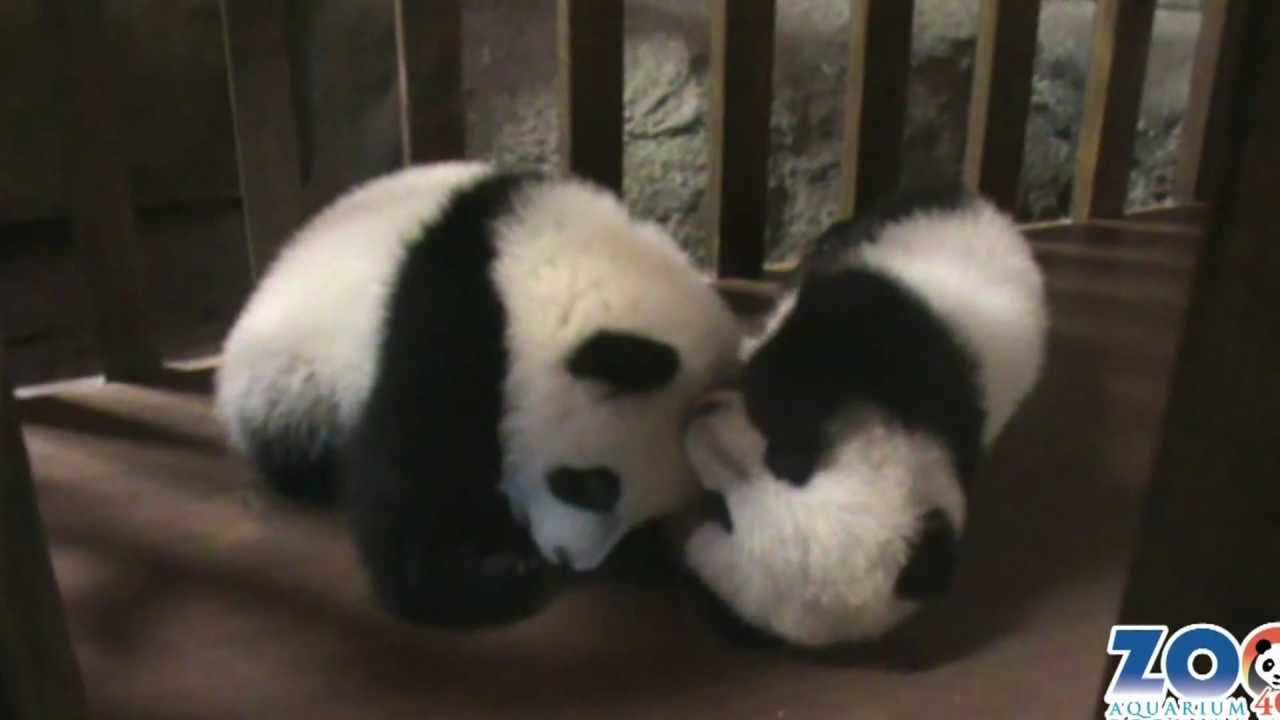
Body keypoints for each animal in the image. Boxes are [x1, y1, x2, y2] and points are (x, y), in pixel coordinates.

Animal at [215, 161, 742, 626]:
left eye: (643, 516)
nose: (569, 559)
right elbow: (411, 464)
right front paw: (475, 583)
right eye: (593, 486)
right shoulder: (452, 319)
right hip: (291, 378)